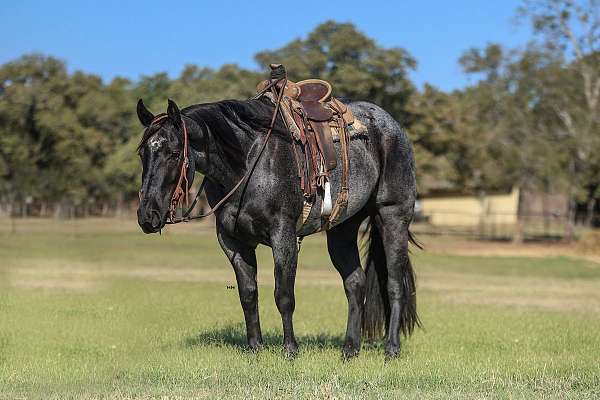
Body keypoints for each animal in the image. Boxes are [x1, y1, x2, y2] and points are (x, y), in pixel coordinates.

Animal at [136, 89, 420, 358]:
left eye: (174, 153)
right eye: (142, 153)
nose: (147, 215)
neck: (249, 162)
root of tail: (392, 126)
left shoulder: (283, 235)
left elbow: (283, 295)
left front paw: (290, 350)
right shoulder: (232, 240)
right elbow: (248, 294)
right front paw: (255, 348)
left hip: (392, 217)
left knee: (394, 284)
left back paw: (391, 348)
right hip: (342, 230)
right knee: (355, 284)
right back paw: (350, 349)